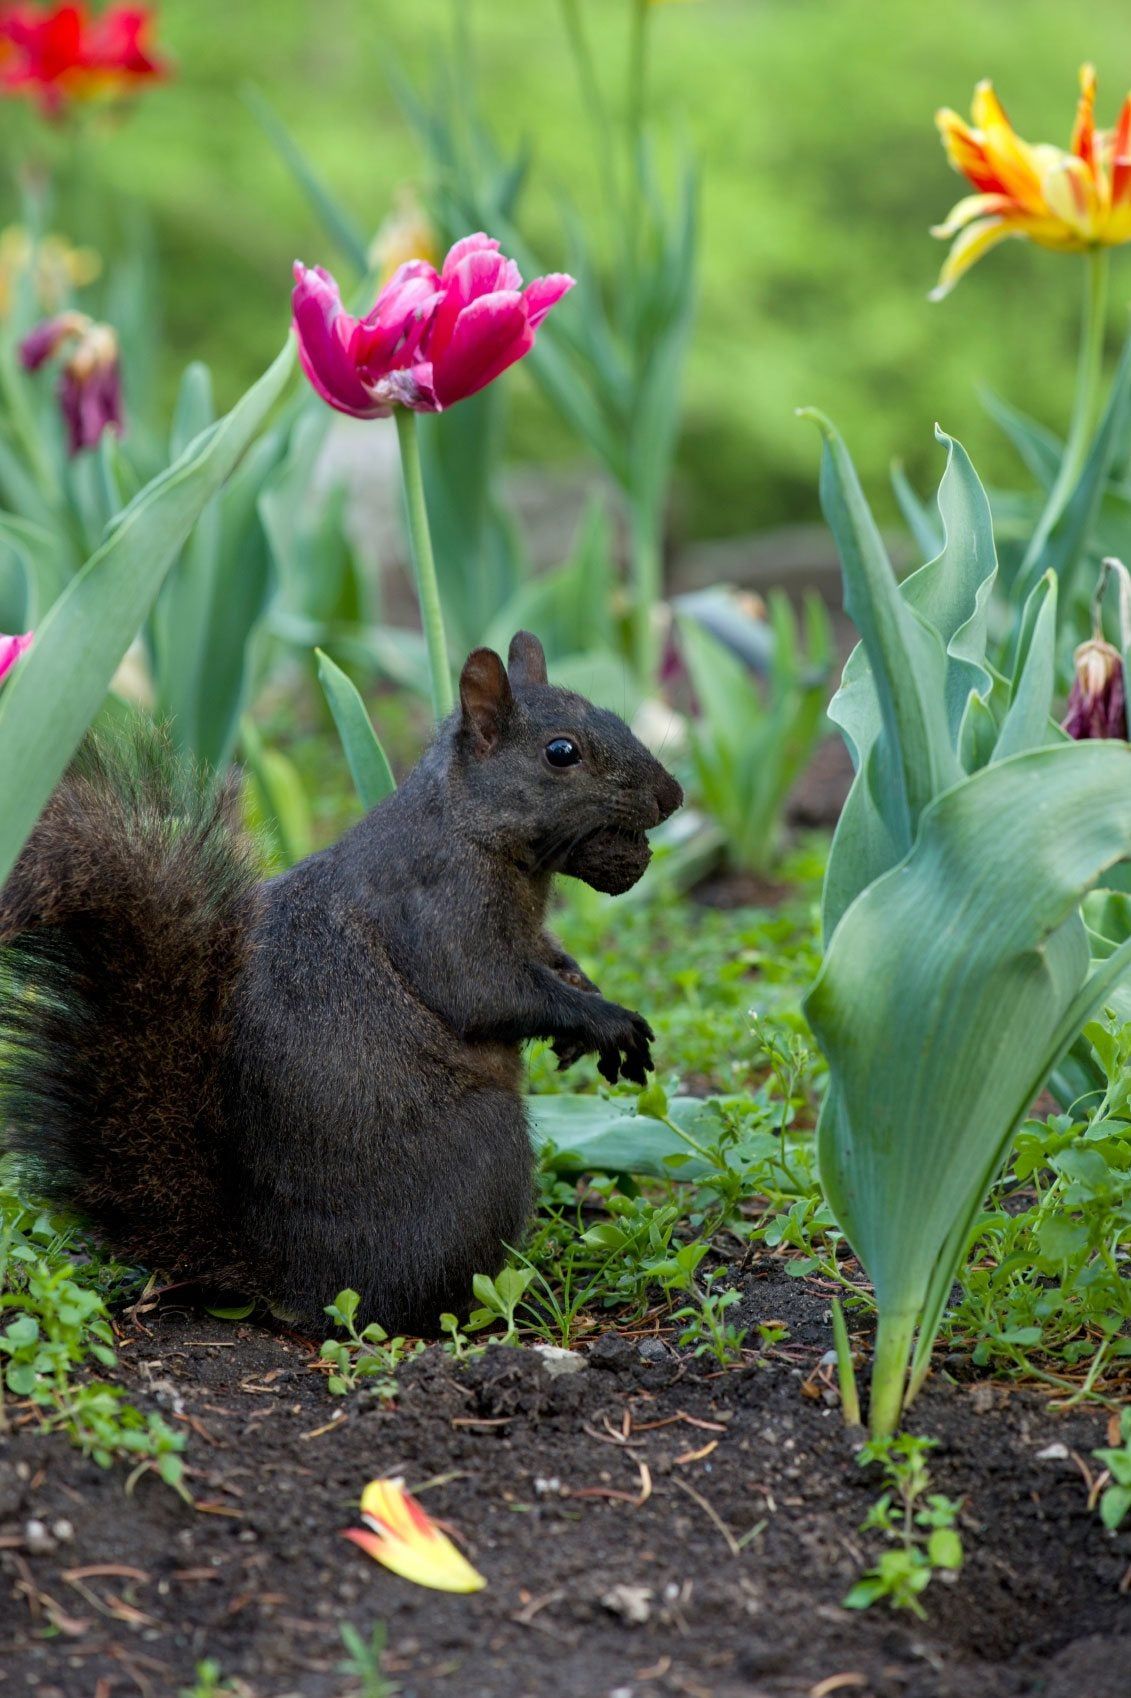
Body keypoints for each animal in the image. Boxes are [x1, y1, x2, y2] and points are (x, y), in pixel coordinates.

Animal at [0, 631, 679, 1331]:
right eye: (561, 752)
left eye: (613, 715)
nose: (672, 796)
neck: (468, 825)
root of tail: (282, 1273)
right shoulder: (440, 908)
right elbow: (485, 991)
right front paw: (607, 1022)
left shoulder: (527, 931)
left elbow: (547, 960)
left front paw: (585, 994)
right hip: (486, 1150)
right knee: (408, 1304)